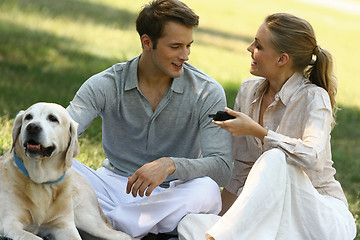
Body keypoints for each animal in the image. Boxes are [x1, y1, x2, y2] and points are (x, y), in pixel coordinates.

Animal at [0, 103, 135, 240]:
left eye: (53, 118)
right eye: (28, 117)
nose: (32, 127)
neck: (42, 182)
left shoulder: (64, 226)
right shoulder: (9, 223)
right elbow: (34, 237)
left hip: (88, 220)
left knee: (123, 235)